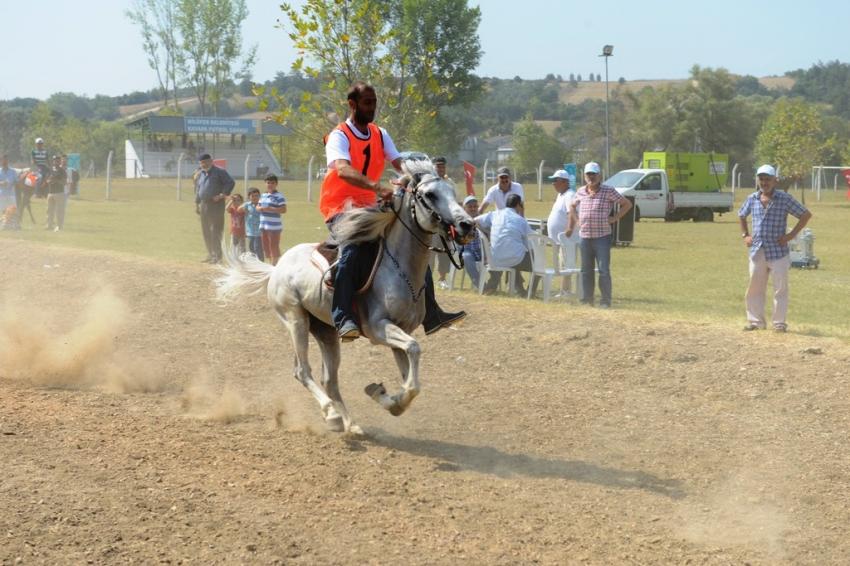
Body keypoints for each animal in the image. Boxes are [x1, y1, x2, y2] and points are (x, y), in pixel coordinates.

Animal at [215, 159, 474, 434]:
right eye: (430, 194)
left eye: (452, 191)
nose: (467, 225)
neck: (398, 267)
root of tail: (277, 268)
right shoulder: (379, 328)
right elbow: (414, 352)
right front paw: (386, 398)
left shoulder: (400, 331)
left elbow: (411, 380)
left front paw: (386, 398)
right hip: (295, 320)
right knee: (302, 371)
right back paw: (331, 414)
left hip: (326, 331)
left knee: (329, 379)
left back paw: (350, 423)